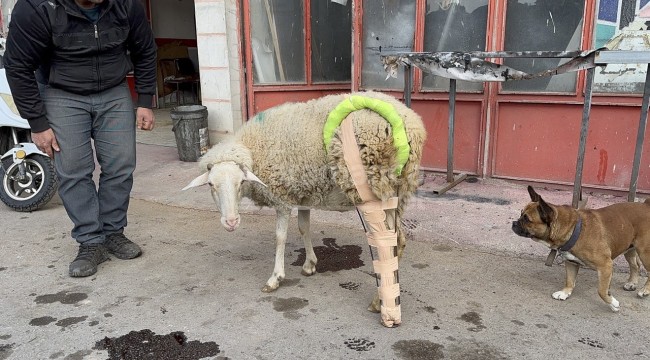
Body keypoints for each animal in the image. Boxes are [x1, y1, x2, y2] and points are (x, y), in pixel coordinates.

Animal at [512, 187, 648, 310]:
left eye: (526, 219)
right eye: (520, 213)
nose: (514, 223)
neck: (573, 229)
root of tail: (646, 205)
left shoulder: (605, 266)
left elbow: (601, 290)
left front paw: (613, 303)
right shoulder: (571, 262)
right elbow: (569, 280)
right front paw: (565, 292)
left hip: (644, 252)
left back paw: (645, 290)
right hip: (629, 248)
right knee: (635, 265)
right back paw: (632, 283)